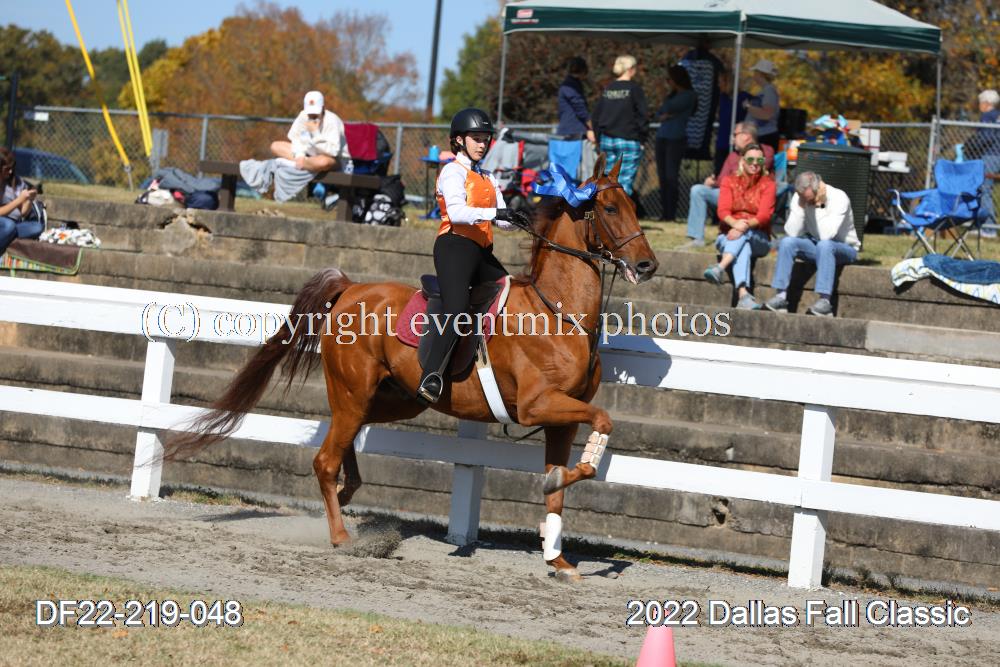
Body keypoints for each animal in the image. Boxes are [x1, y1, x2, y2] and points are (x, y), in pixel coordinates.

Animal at [166, 155, 659, 580]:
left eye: (633, 207)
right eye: (609, 207)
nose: (647, 264)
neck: (556, 312)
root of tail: (350, 289)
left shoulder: (562, 418)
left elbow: (559, 487)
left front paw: (558, 559)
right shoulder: (538, 406)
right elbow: (602, 425)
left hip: (392, 399)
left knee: (345, 442)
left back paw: (346, 496)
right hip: (354, 391)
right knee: (325, 459)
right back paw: (342, 535)